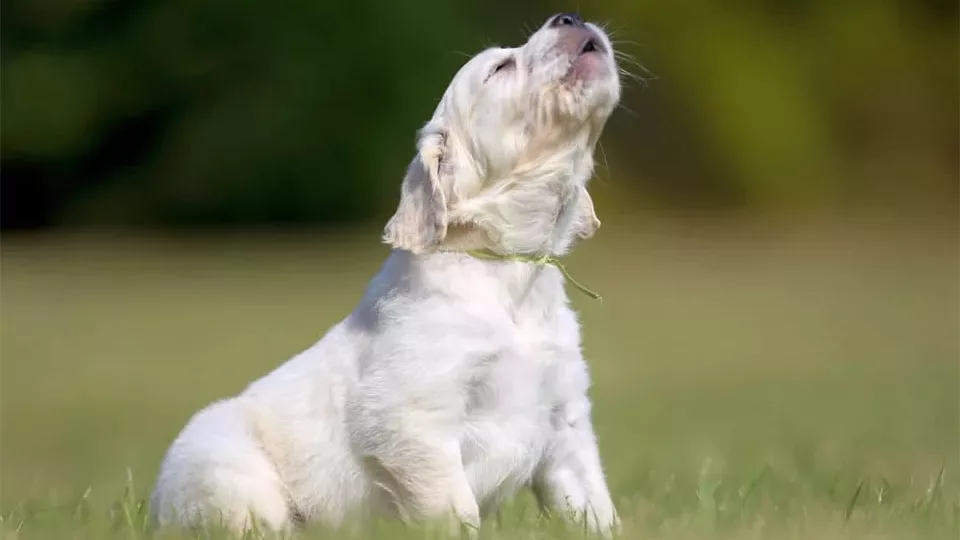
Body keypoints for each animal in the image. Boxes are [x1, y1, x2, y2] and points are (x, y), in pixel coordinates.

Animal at [146, 11, 620, 536]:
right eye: (500, 68)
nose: (569, 17)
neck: (508, 269)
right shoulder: (415, 423)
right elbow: (455, 510)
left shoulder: (566, 422)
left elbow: (593, 505)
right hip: (228, 474)